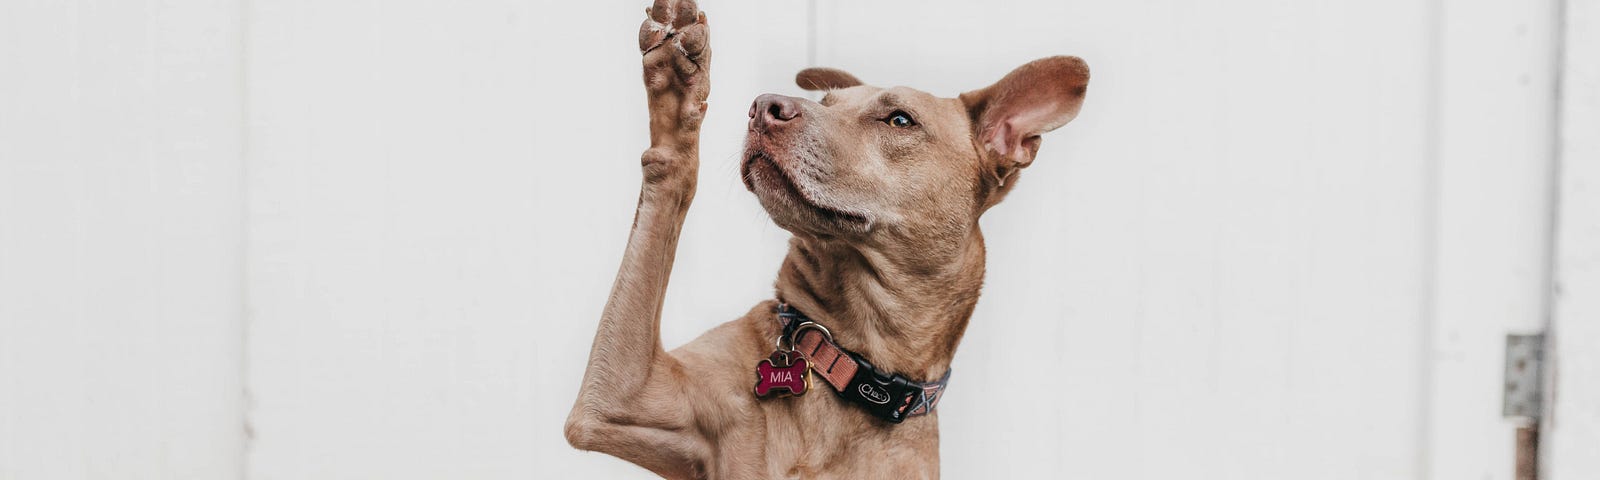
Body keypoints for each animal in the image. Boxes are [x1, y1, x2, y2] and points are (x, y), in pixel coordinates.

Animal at [563, 1, 1088, 476]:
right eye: (826, 103)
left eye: (899, 120)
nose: (763, 107)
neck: (857, 361)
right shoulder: (616, 400)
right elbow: (669, 176)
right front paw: (676, 86)